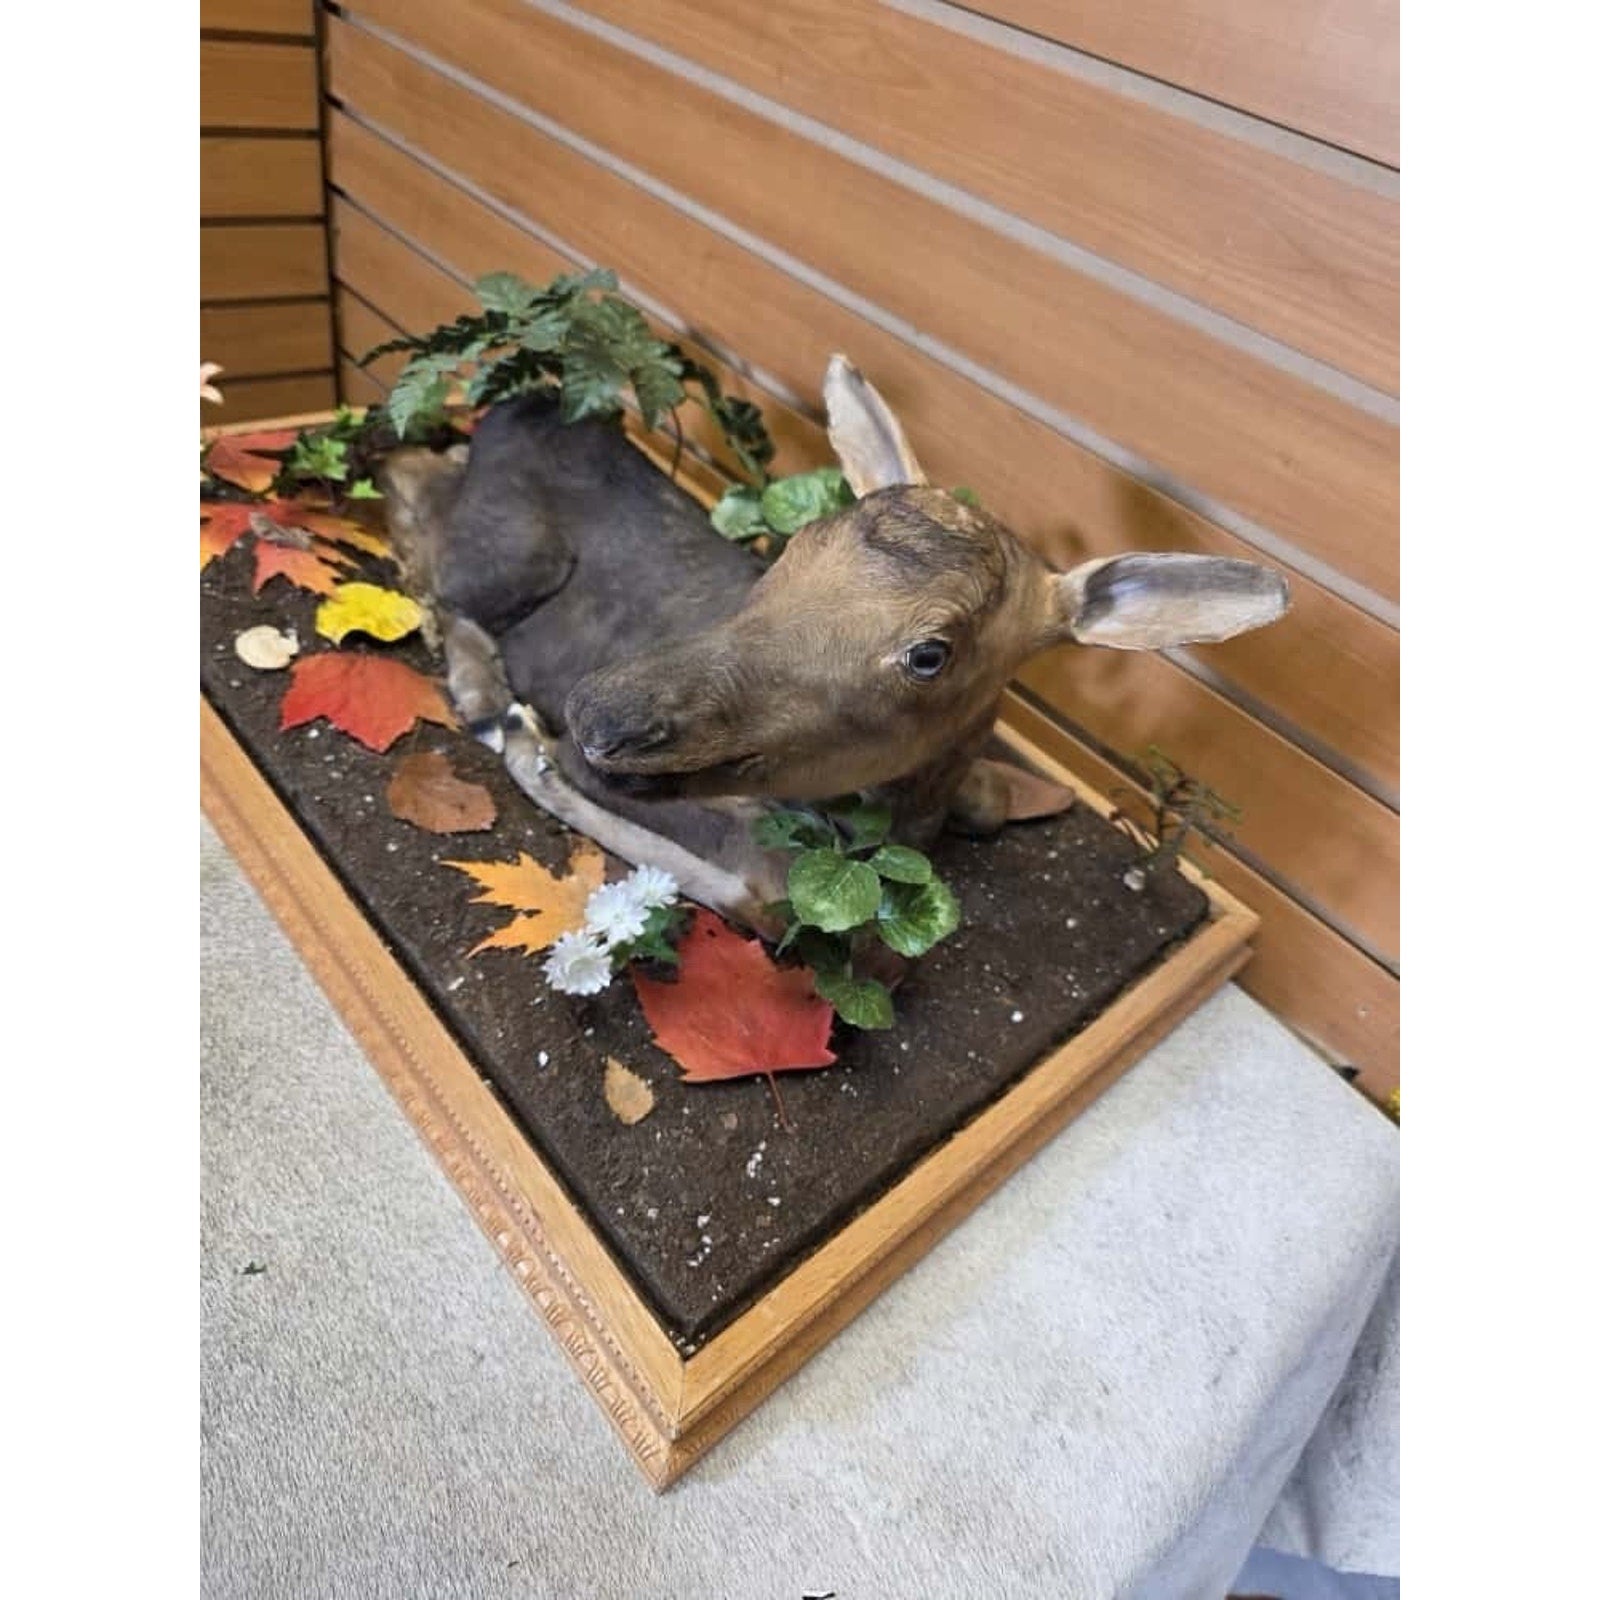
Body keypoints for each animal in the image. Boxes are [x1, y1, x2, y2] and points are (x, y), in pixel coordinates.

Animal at [378, 357, 1289, 931]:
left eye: (931, 653)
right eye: (797, 543)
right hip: (511, 559)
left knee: (418, 470)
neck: (902, 820)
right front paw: (530, 756)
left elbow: (992, 799)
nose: (602, 713)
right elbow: (759, 890)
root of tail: (519, 404)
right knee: (411, 492)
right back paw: (485, 695)